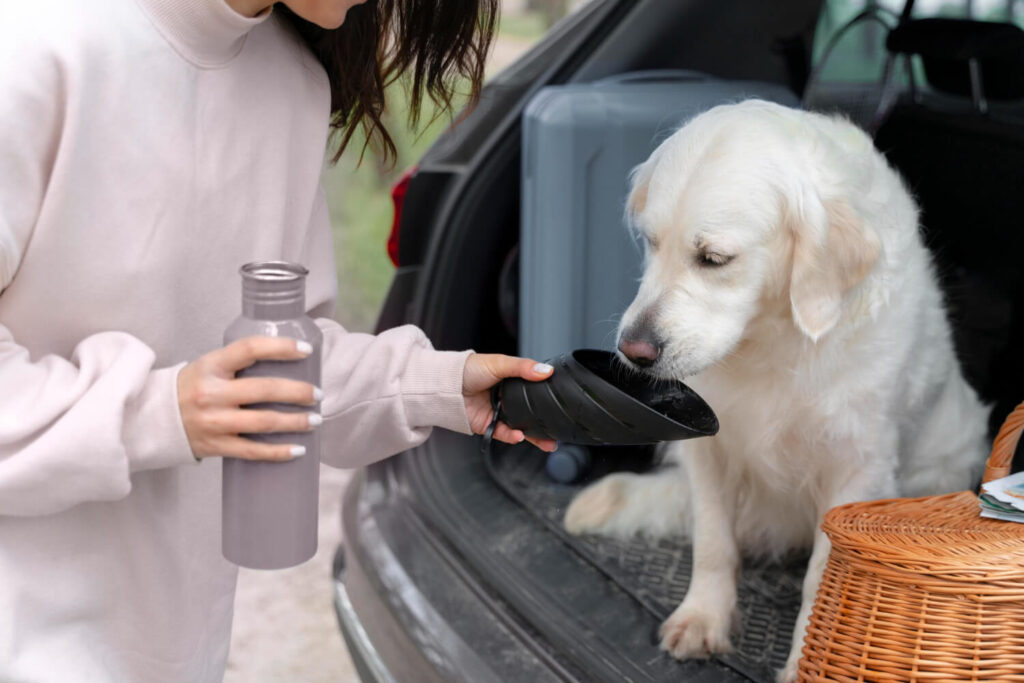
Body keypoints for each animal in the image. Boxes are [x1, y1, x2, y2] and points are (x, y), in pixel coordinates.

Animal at [565, 100, 987, 683]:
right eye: (651, 242)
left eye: (714, 258)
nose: (633, 350)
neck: (771, 336)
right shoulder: (708, 448)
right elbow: (713, 542)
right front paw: (703, 618)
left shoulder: (857, 467)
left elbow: (824, 575)